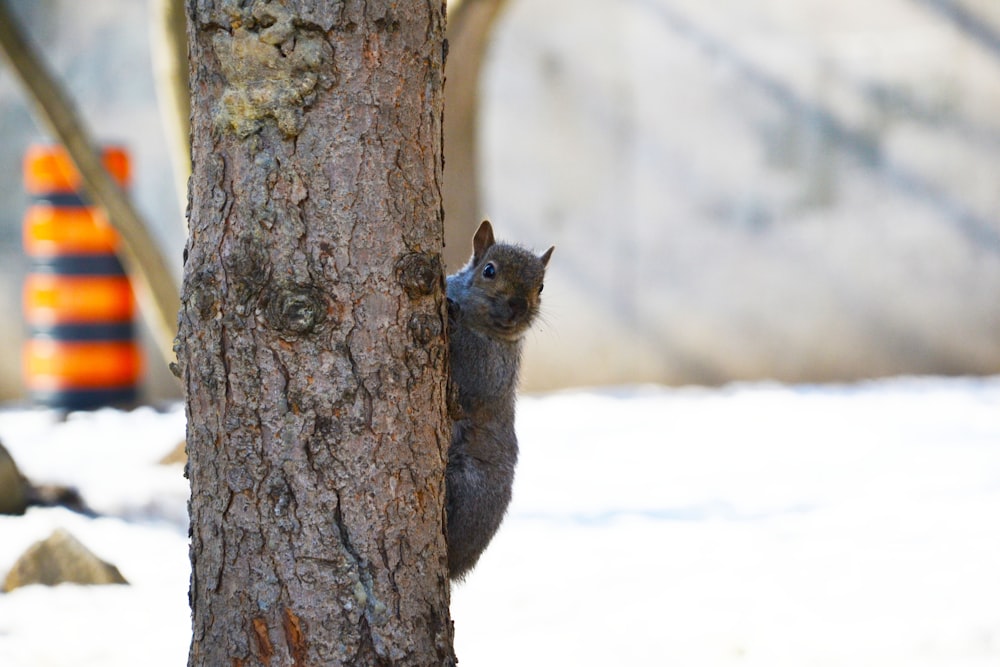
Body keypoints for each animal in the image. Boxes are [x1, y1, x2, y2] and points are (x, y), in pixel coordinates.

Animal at [446, 220, 556, 580]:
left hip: (473, 488)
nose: (518, 305)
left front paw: (450, 315)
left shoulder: (493, 369)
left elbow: (475, 378)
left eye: (541, 287)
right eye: (489, 270)